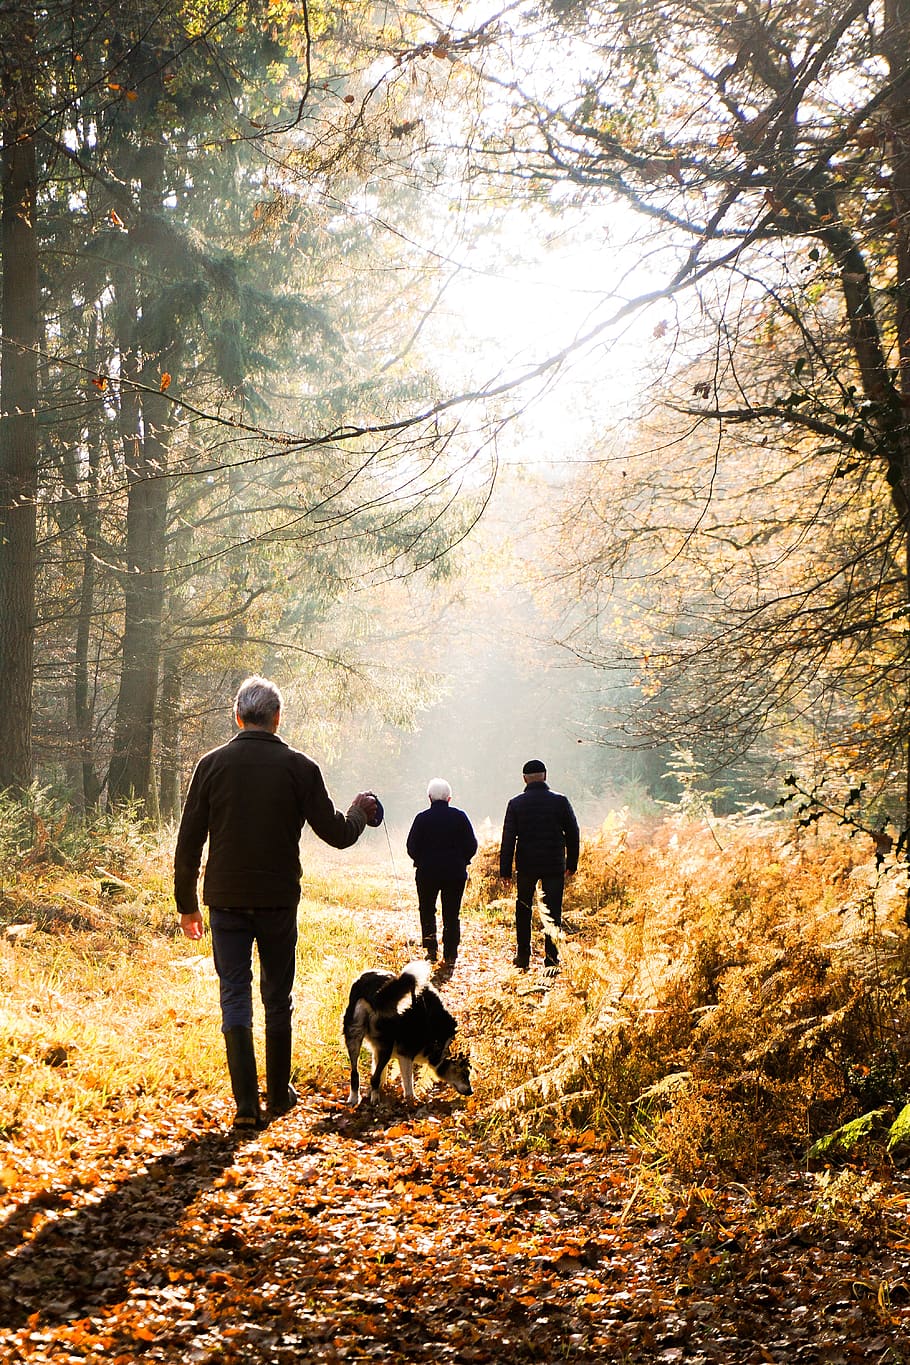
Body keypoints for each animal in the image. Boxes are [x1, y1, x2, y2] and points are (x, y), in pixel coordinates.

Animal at [341, 960, 469, 1108]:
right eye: (464, 1072)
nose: (471, 1091)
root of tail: (374, 990)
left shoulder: (377, 1050)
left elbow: (380, 1074)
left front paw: (379, 1090)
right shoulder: (406, 1054)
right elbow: (407, 1081)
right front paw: (412, 1100)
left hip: (353, 1037)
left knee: (355, 1073)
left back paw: (355, 1098)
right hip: (386, 1046)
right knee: (373, 1077)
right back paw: (375, 1100)